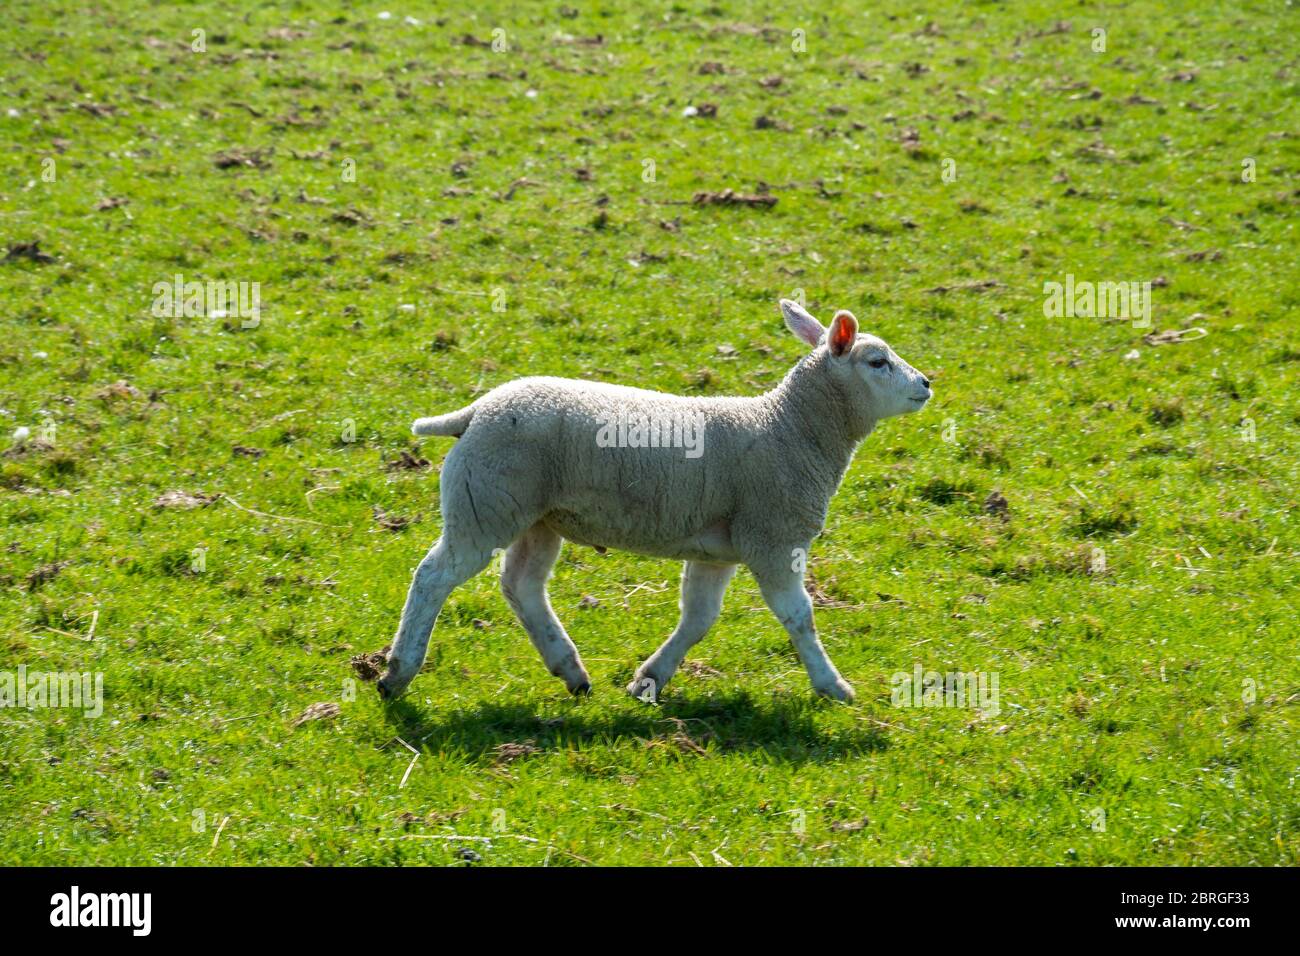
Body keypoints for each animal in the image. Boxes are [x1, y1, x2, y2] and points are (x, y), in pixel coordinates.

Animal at [379, 303, 930, 707]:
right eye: (877, 362)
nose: (926, 384)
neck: (789, 427)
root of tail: (476, 410)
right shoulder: (774, 537)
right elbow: (799, 617)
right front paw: (833, 686)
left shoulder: (719, 552)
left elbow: (699, 618)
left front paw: (649, 679)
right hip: (485, 505)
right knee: (433, 576)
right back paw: (397, 673)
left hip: (536, 517)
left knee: (522, 586)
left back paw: (571, 670)